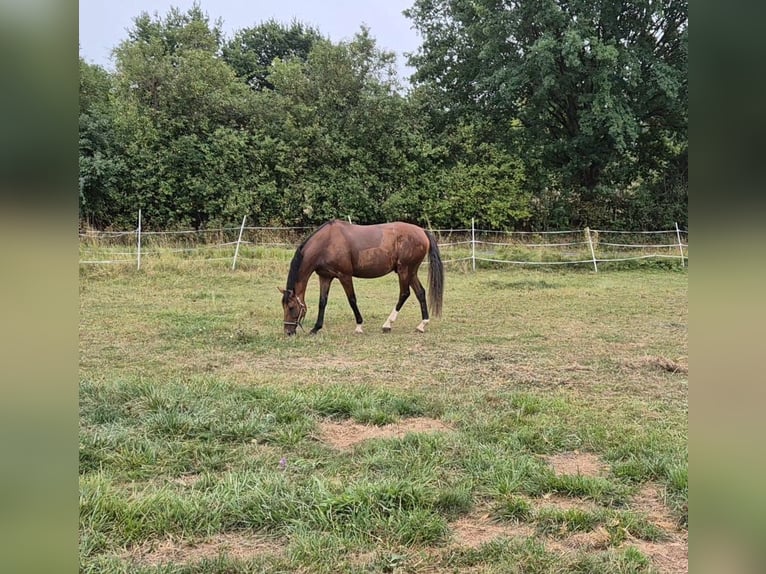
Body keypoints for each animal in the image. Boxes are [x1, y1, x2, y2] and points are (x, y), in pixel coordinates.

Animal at [279, 220, 444, 336]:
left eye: (292, 307)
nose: (288, 332)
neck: (327, 243)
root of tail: (422, 231)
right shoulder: (325, 277)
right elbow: (322, 302)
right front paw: (316, 328)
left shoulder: (345, 276)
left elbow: (352, 300)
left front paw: (359, 326)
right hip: (411, 272)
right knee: (420, 293)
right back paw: (422, 325)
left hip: (404, 271)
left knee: (404, 294)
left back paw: (387, 324)